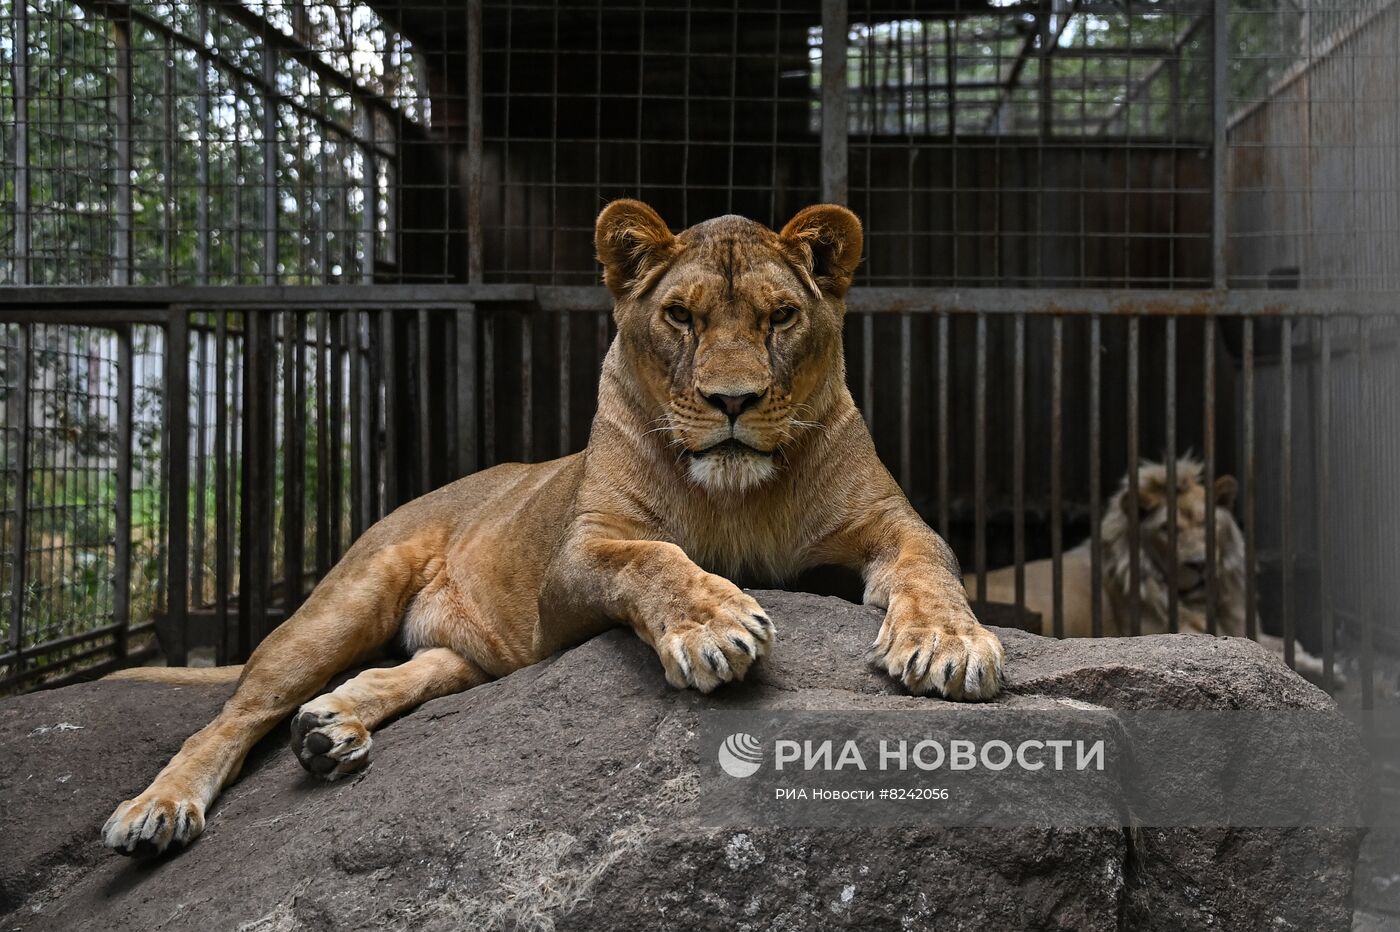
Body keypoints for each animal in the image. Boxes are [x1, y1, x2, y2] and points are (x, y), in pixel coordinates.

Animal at [103, 200, 1008, 850]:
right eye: (681, 317)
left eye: (780, 318)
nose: (733, 401)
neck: (737, 496)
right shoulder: (579, 556)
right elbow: (655, 558)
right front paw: (714, 627)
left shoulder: (891, 522)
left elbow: (929, 567)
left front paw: (948, 644)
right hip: (347, 599)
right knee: (234, 715)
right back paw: (158, 809)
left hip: (468, 656)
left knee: (408, 671)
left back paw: (330, 733)